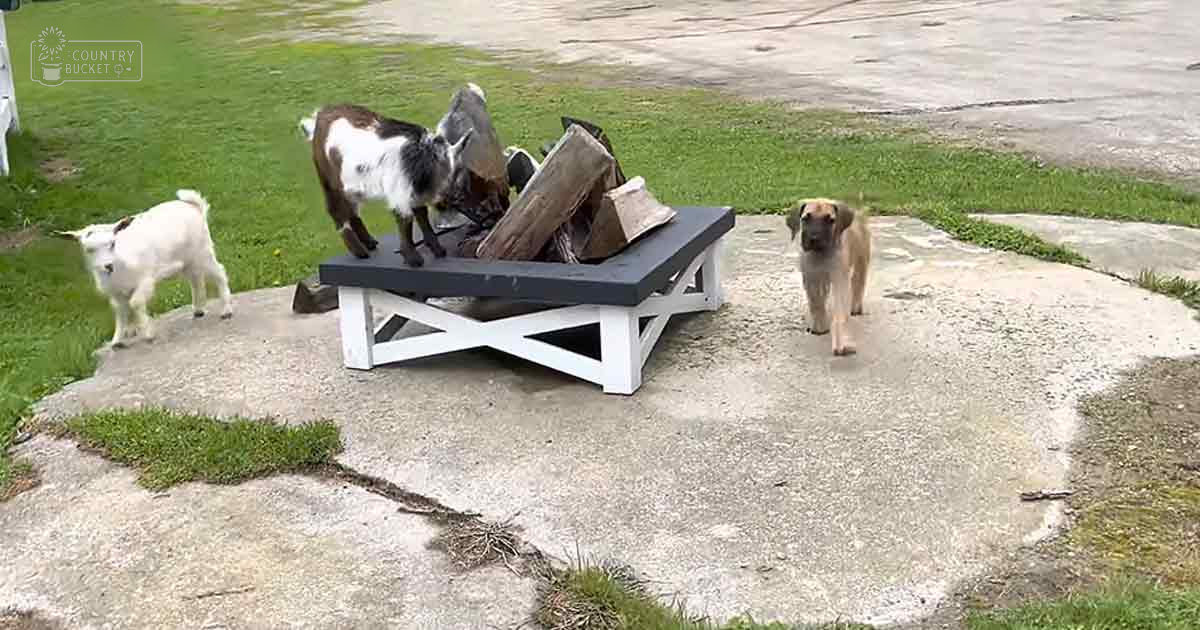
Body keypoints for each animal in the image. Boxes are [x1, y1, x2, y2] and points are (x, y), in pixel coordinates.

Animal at [56, 189, 233, 349]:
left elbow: (135, 303)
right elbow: (120, 311)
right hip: (188, 260)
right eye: (88, 249)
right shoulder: (116, 293)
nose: (108, 265)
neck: (121, 261)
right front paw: (119, 339)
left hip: (203, 251)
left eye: (112, 243)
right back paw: (198, 310)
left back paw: (226, 311)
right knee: (196, 279)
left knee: (219, 273)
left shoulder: (145, 280)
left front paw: (148, 333)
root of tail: (194, 206)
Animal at [299, 103, 474, 266]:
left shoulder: (415, 191)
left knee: (352, 210)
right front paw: (414, 259)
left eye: (460, 171)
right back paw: (359, 252)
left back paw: (369, 242)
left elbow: (422, 216)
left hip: (351, 185)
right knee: (337, 211)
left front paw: (438, 250)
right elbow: (405, 220)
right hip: (329, 180)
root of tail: (318, 118)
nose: (454, 198)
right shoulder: (400, 191)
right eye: (445, 172)